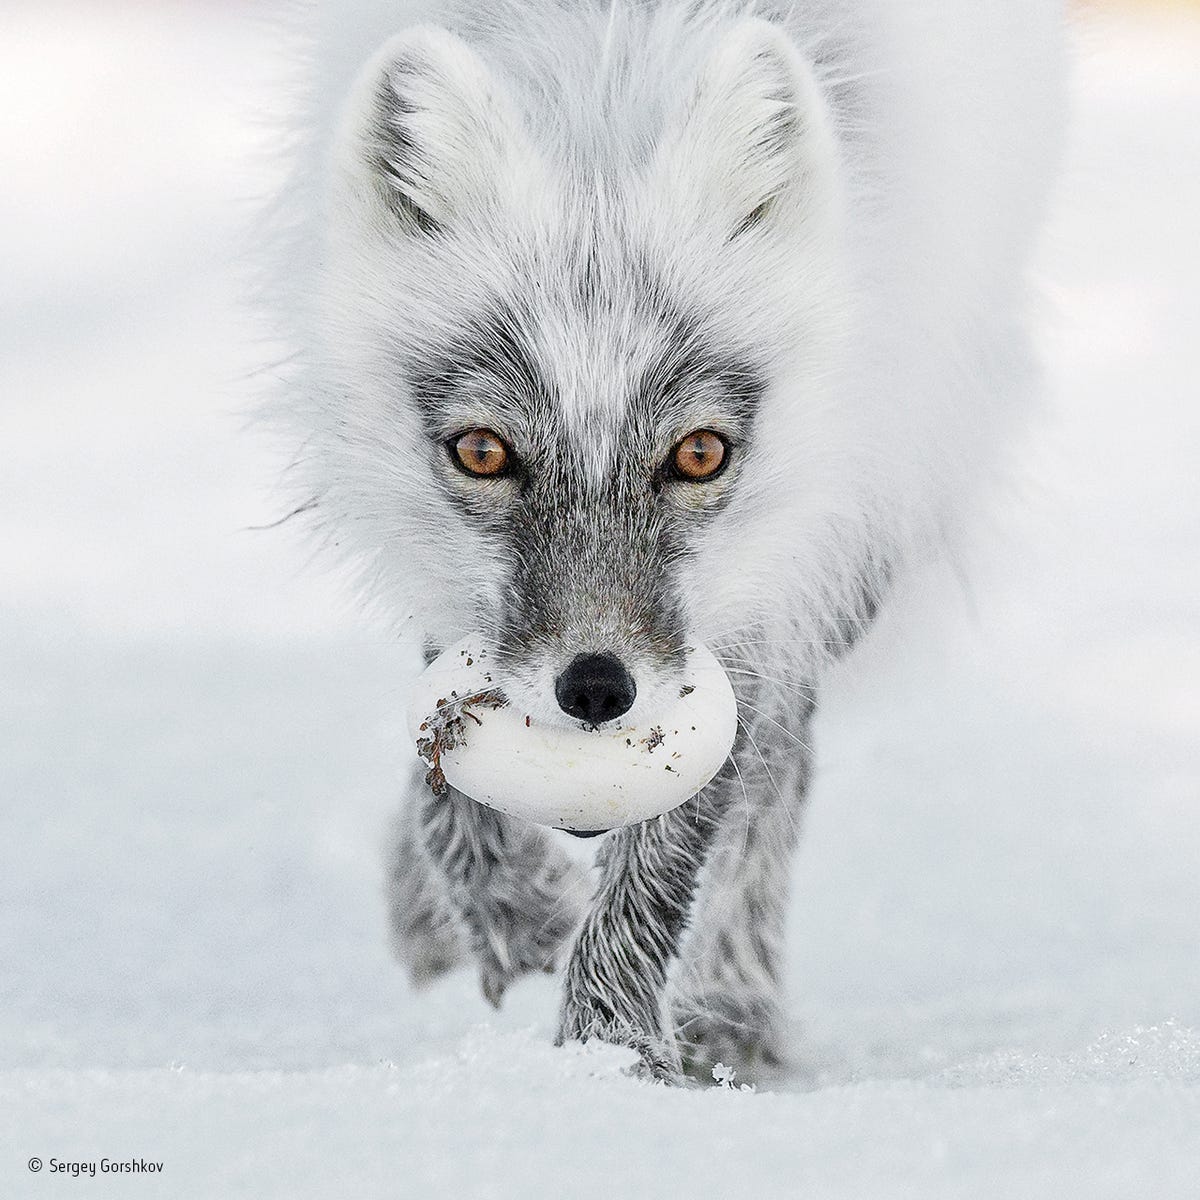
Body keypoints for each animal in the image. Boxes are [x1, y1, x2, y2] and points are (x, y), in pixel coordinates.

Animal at [267, 0, 1065, 1084]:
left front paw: (609, 1064)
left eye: (698, 453)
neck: (606, 87)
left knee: (779, 772)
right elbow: (444, 766)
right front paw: (511, 914)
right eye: (483, 451)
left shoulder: (761, 595)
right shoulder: (448, 580)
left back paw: (731, 1010)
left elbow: (673, 852)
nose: (598, 689)